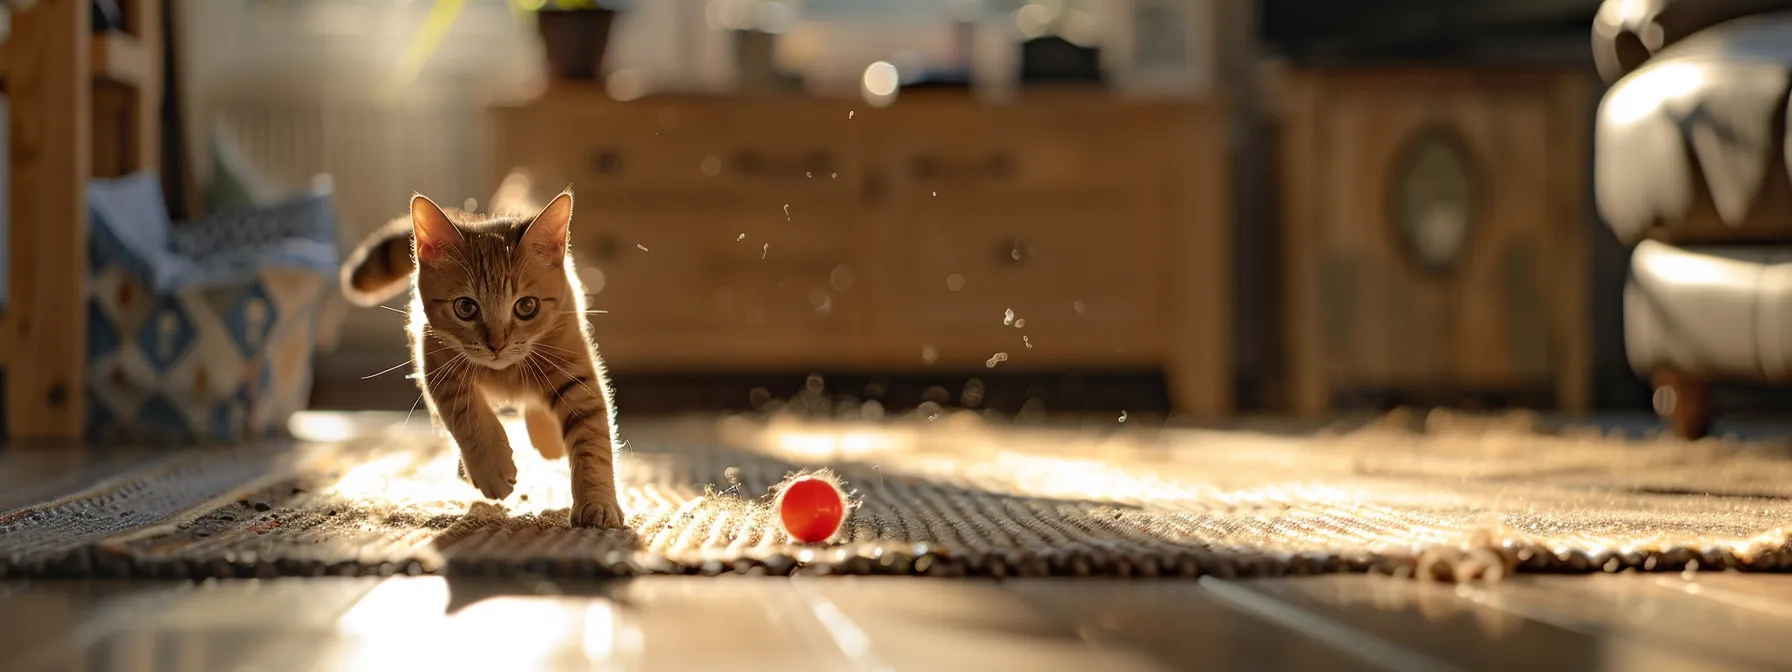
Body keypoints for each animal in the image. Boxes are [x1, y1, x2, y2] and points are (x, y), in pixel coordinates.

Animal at [338, 190, 627, 530]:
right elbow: (465, 414)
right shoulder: (436, 361)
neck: (506, 372)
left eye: (527, 306)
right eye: (465, 307)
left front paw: (597, 502)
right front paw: (490, 467)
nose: (496, 345)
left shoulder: (574, 371)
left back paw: (547, 439)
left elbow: (592, 440)